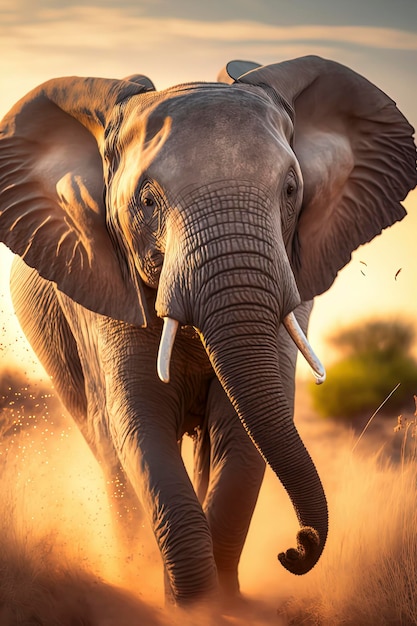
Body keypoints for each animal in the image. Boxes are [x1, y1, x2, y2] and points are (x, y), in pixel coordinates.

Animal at [0, 54, 414, 604]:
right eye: (147, 202)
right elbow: (140, 422)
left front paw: (222, 603)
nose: (295, 548)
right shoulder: (105, 284)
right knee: (109, 451)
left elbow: (242, 432)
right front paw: (191, 605)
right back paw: (130, 569)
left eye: (290, 189)